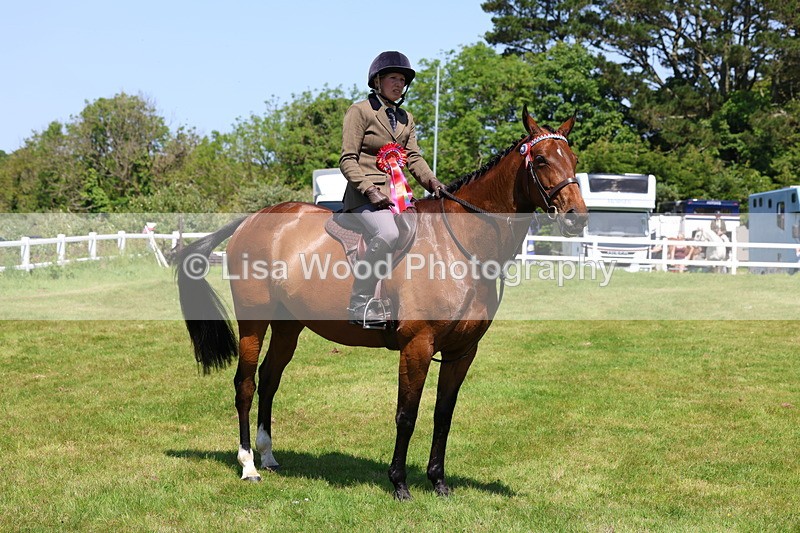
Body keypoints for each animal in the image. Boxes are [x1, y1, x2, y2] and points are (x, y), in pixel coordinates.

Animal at [175, 107, 588, 500]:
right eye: (541, 160)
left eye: (573, 158)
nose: (577, 218)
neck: (458, 247)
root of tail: (252, 220)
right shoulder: (417, 347)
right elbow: (407, 414)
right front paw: (400, 483)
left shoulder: (462, 351)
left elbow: (443, 414)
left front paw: (438, 481)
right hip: (254, 322)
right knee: (245, 384)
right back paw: (248, 464)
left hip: (289, 326)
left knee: (269, 380)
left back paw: (269, 456)